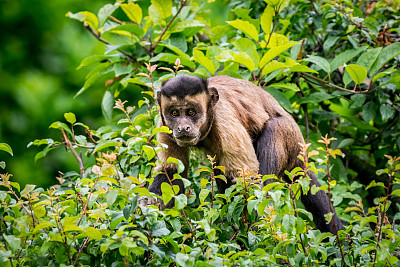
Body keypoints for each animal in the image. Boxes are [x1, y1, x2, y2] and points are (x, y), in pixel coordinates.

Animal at [150, 75, 344, 234]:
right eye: (174, 113)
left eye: (191, 112)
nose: (183, 127)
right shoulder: (164, 126)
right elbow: (171, 172)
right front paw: (148, 211)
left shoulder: (225, 121)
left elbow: (247, 181)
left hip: (290, 136)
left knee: (273, 128)